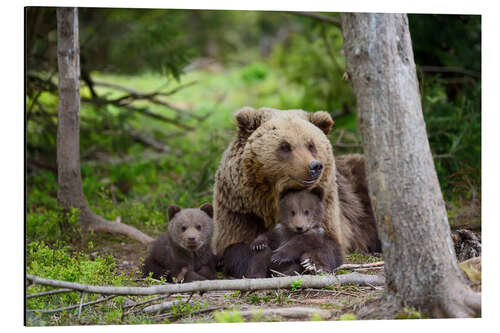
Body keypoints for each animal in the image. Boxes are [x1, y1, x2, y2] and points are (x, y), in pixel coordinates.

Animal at [213, 107, 380, 278]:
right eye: (285, 146)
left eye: (311, 145)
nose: (315, 166)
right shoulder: (242, 211)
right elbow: (237, 248)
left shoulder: (326, 207)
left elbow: (329, 244)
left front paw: (312, 263)